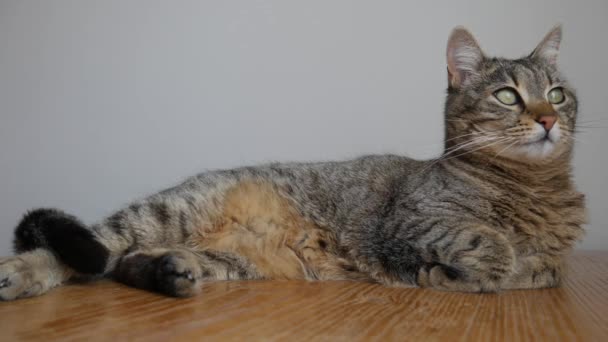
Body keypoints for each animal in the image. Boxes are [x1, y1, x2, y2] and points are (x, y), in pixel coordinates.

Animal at [0, 26, 584, 300]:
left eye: (557, 95)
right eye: (507, 96)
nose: (547, 119)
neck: (537, 187)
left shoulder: (554, 256)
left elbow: (548, 269)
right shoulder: (411, 223)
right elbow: (492, 247)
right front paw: (463, 273)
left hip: (230, 260)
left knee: (122, 264)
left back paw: (170, 271)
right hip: (164, 212)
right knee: (90, 249)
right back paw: (22, 273)